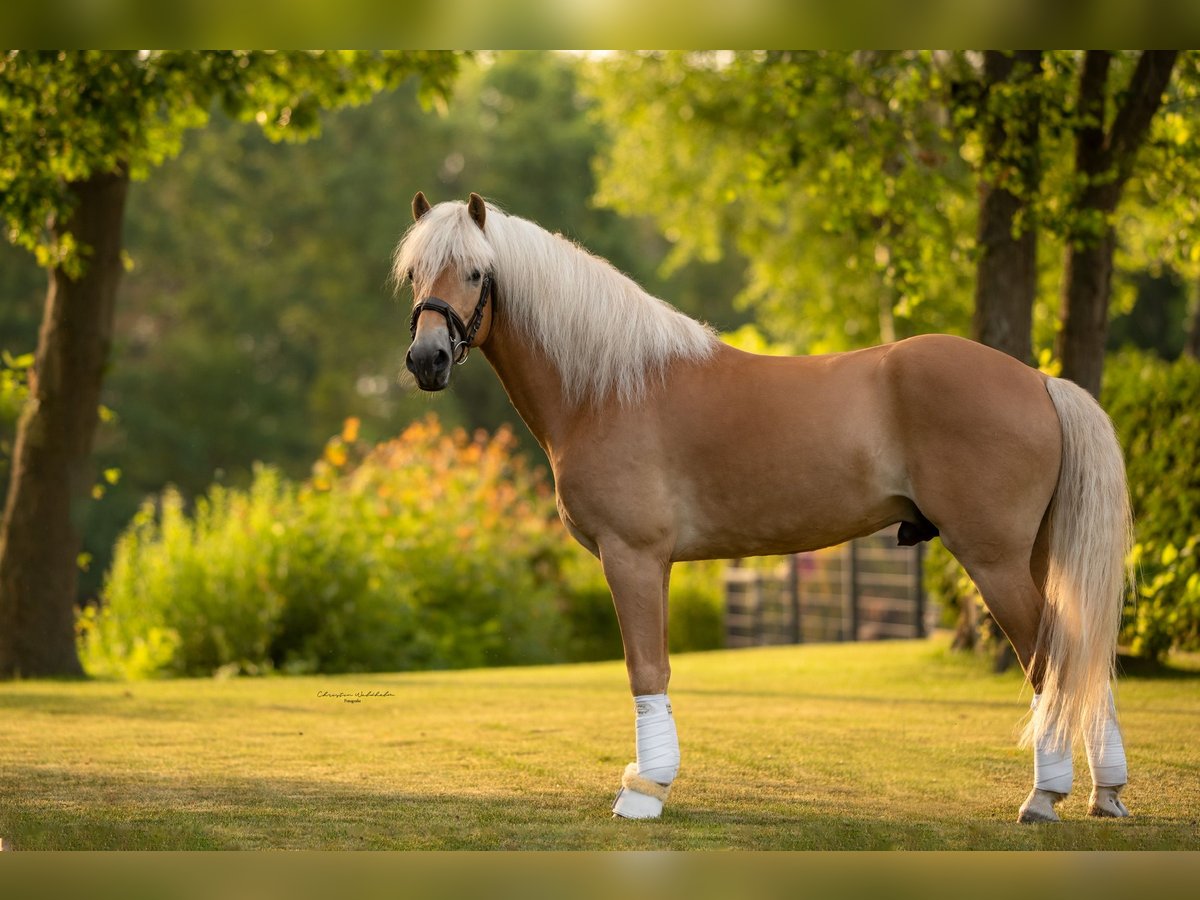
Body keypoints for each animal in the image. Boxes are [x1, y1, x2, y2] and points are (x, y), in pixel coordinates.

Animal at [396, 194, 1132, 830]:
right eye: (414, 274)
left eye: (476, 272)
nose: (426, 360)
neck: (608, 390)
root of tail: (1038, 379)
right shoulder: (651, 562)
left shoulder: (632, 555)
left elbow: (646, 669)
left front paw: (645, 789)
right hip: (1037, 555)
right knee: (1082, 653)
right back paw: (1107, 792)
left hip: (994, 559)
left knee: (1051, 660)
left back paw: (1044, 796)